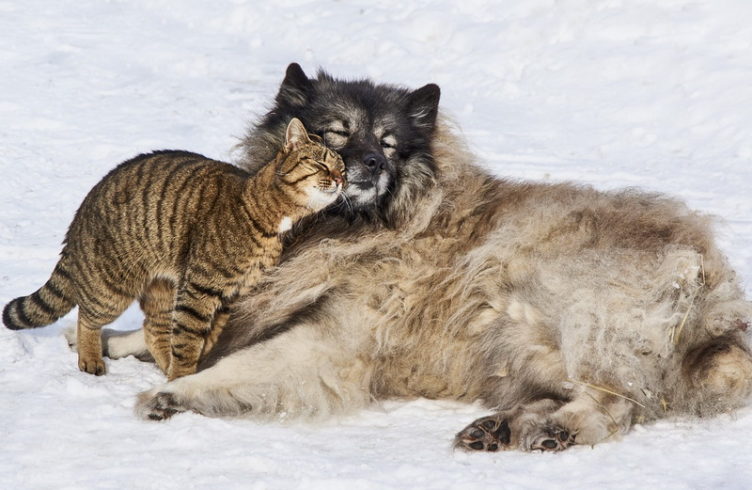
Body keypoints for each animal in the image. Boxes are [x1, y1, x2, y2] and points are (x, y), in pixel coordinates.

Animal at [1, 117, 344, 378]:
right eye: (320, 163)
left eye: (342, 168)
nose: (341, 179)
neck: (267, 215)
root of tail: (79, 215)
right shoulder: (200, 290)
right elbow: (189, 341)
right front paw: (180, 377)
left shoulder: (230, 296)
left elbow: (204, 339)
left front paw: (185, 372)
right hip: (113, 288)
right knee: (87, 316)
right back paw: (91, 358)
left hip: (162, 289)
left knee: (153, 328)